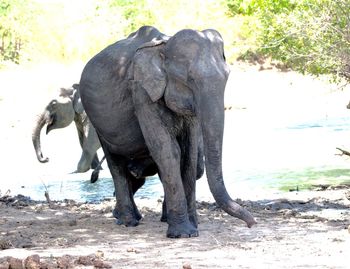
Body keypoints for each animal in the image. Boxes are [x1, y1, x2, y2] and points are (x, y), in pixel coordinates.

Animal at [79, 26, 256, 238]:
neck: (164, 46)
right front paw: (182, 234)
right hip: (97, 122)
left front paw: (193, 228)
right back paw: (128, 222)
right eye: (189, 79)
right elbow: (167, 150)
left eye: (227, 76)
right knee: (116, 164)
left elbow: (189, 155)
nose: (252, 224)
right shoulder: (141, 91)